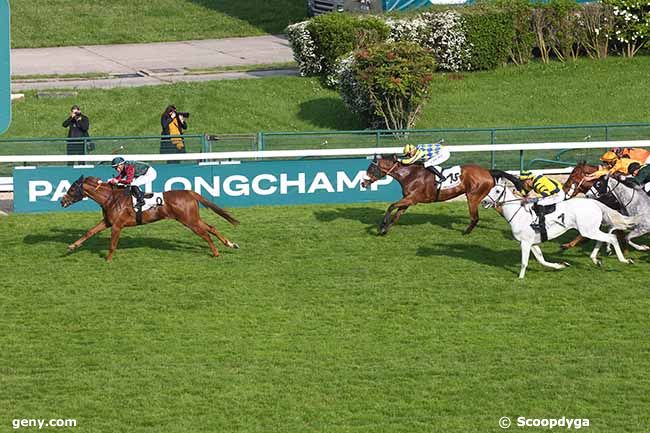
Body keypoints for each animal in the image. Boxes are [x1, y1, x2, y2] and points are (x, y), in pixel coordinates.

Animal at [59, 176, 238, 260]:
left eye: (72, 189)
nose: (62, 201)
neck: (110, 198)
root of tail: (188, 192)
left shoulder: (117, 225)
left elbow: (112, 245)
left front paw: (108, 261)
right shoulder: (108, 222)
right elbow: (89, 232)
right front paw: (72, 246)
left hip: (189, 221)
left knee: (205, 234)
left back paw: (216, 252)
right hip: (192, 218)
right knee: (211, 228)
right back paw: (230, 244)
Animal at [356, 154, 520, 236]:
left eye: (371, 168)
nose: (363, 183)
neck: (410, 174)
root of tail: (487, 171)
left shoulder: (412, 198)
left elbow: (391, 206)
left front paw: (380, 226)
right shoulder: (408, 200)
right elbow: (396, 215)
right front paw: (384, 230)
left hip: (473, 197)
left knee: (475, 218)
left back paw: (466, 232)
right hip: (488, 198)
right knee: (498, 208)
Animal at [480, 180, 632, 278]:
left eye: (497, 191)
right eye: (490, 189)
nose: (484, 202)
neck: (519, 214)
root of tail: (595, 203)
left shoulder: (525, 242)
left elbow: (524, 262)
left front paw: (520, 278)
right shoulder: (533, 243)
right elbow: (542, 260)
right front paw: (561, 265)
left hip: (588, 230)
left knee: (612, 238)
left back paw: (624, 260)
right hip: (591, 230)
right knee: (602, 239)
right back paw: (595, 259)